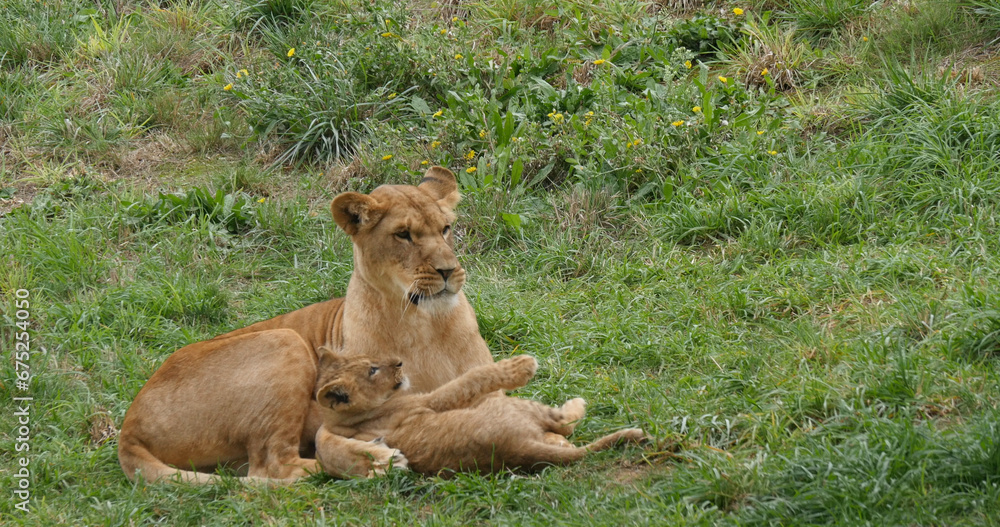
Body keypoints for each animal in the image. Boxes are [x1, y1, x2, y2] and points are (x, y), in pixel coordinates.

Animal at [118, 166, 495, 484]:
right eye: (403, 235)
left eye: (445, 229)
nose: (448, 270)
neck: (426, 326)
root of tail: (128, 428)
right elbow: (328, 441)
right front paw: (375, 459)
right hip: (284, 340)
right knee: (272, 466)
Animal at [313, 348, 647, 475]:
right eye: (372, 370)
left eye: (370, 359)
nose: (398, 362)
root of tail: (517, 449)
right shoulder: (428, 401)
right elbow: (470, 379)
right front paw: (521, 366)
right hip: (507, 404)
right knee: (565, 423)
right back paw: (576, 404)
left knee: (562, 437)